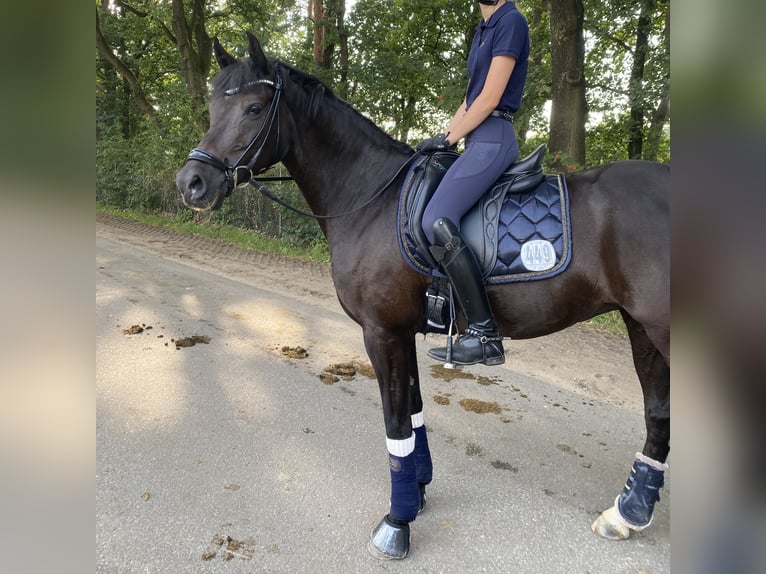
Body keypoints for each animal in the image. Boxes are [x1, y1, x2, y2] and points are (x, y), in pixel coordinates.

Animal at [177, 33, 668, 560]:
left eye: (253, 108)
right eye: (213, 107)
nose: (192, 183)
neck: (371, 197)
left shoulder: (382, 331)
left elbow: (395, 424)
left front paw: (397, 523)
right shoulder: (404, 331)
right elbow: (412, 413)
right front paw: (417, 490)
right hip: (641, 327)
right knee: (658, 415)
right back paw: (627, 513)